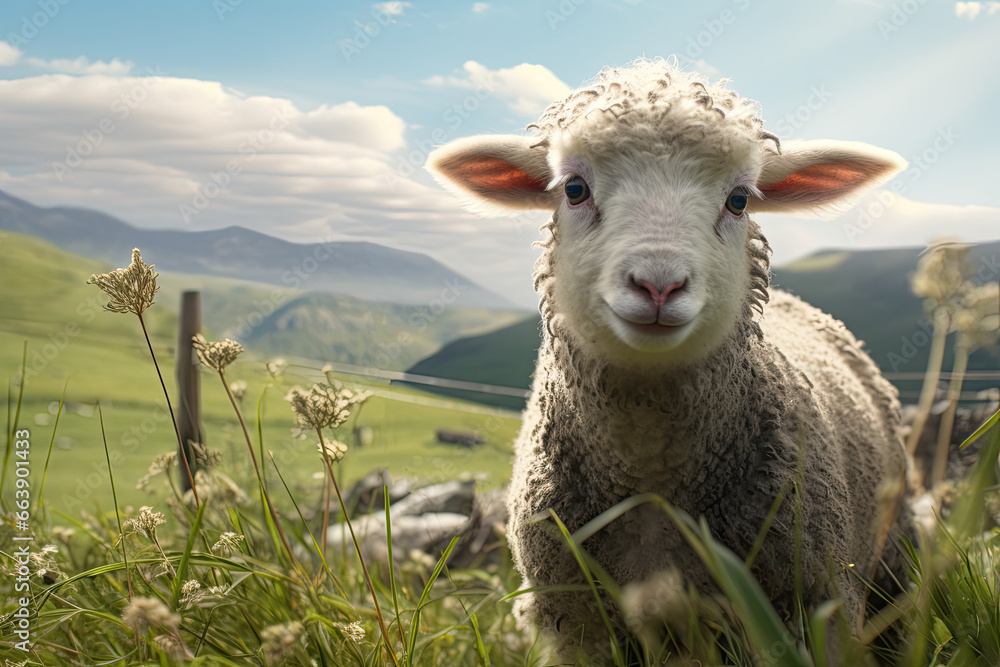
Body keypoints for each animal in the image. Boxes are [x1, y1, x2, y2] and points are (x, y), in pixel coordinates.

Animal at [426, 58, 915, 660]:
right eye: (575, 189)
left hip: (892, 549)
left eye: (739, 200)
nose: (658, 284)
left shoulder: (814, 603)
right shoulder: (577, 626)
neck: (651, 472)